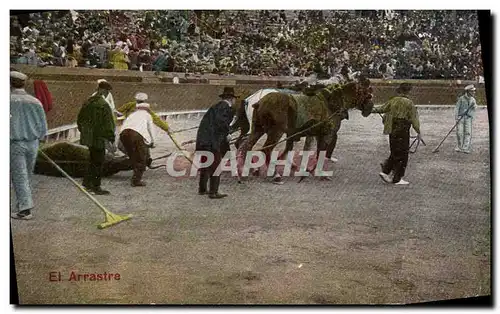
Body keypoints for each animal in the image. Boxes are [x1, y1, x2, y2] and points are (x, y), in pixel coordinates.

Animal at [236, 76, 374, 184]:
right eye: (367, 93)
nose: (369, 108)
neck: (331, 103)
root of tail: (258, 101)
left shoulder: (312, 134)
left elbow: (301, 149)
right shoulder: (326, 134)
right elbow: (319, 152)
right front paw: (316, 172)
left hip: (258, 129)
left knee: (245, 146)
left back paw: (244, 171)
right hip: (276, 131)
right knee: (266, 149)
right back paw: (274, 175)